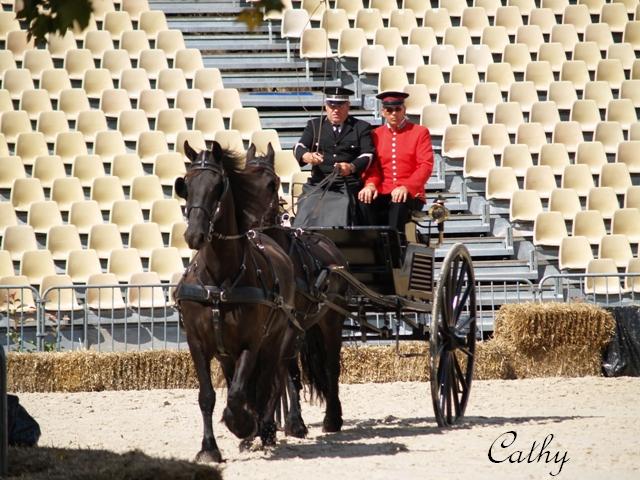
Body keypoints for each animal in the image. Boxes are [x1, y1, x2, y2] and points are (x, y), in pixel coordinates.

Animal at [172, 142, 298, 462]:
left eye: (218, 186)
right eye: (186, 184)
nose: (194, 234)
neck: (219, 278)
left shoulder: (251, 344)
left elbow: (240, 394)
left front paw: (243, 424)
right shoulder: (197, 343)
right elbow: (208, 396)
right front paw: (209, 448)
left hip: (276, 342)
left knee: (270, 384)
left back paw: (265, 429)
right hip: (227, 353)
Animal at [229, 143, 350, 436]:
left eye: (272, 183)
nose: (248, 222)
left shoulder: (288, 327)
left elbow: (284, 369)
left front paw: (285, 422)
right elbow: (284, 372)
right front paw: (285, 422)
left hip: (332, 320)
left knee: (332, 367)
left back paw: (333, 418)